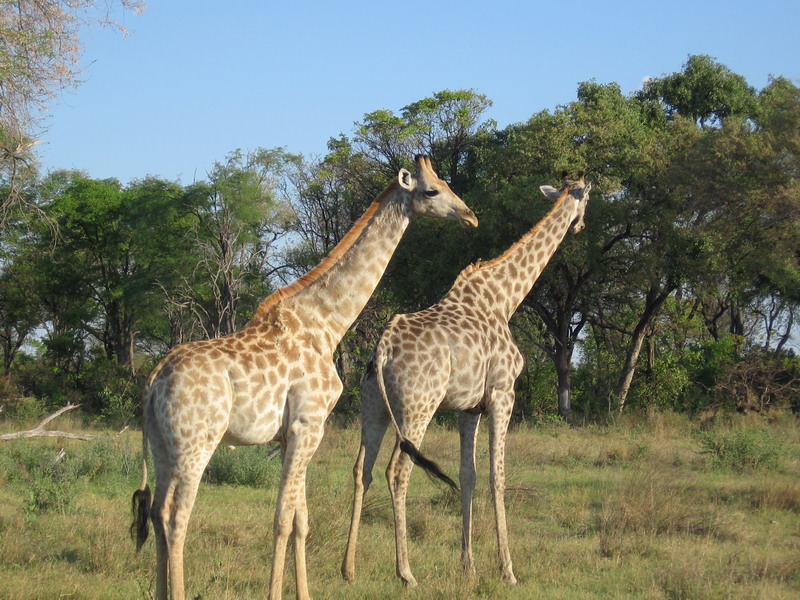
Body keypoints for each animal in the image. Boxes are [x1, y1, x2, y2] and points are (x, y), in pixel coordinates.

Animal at [130, 156, 478, 600]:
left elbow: (300, 520)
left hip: (162, 444)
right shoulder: (307, 424)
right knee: (176, 516)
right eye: (431, 191)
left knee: (157, 513)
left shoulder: (298, 433)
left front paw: (304, 593)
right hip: (196, 442)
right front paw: (276, 593)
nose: (470, 216)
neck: (326, 324)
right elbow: (282, 519)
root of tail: (154, 381)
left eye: (446, 183)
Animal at [340, 176, 592, 588]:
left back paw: (348, 568)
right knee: (399, 470)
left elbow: (468, 475)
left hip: (372, 406)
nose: (580, 226)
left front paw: (468, 564)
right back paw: (406, 572)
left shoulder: (468, 408)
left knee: (363, 469)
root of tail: (383, 348)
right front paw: (507, 570)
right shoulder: (503, 393)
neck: (505, 298)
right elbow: (497, 476)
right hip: (418, 407)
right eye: (587, 200)